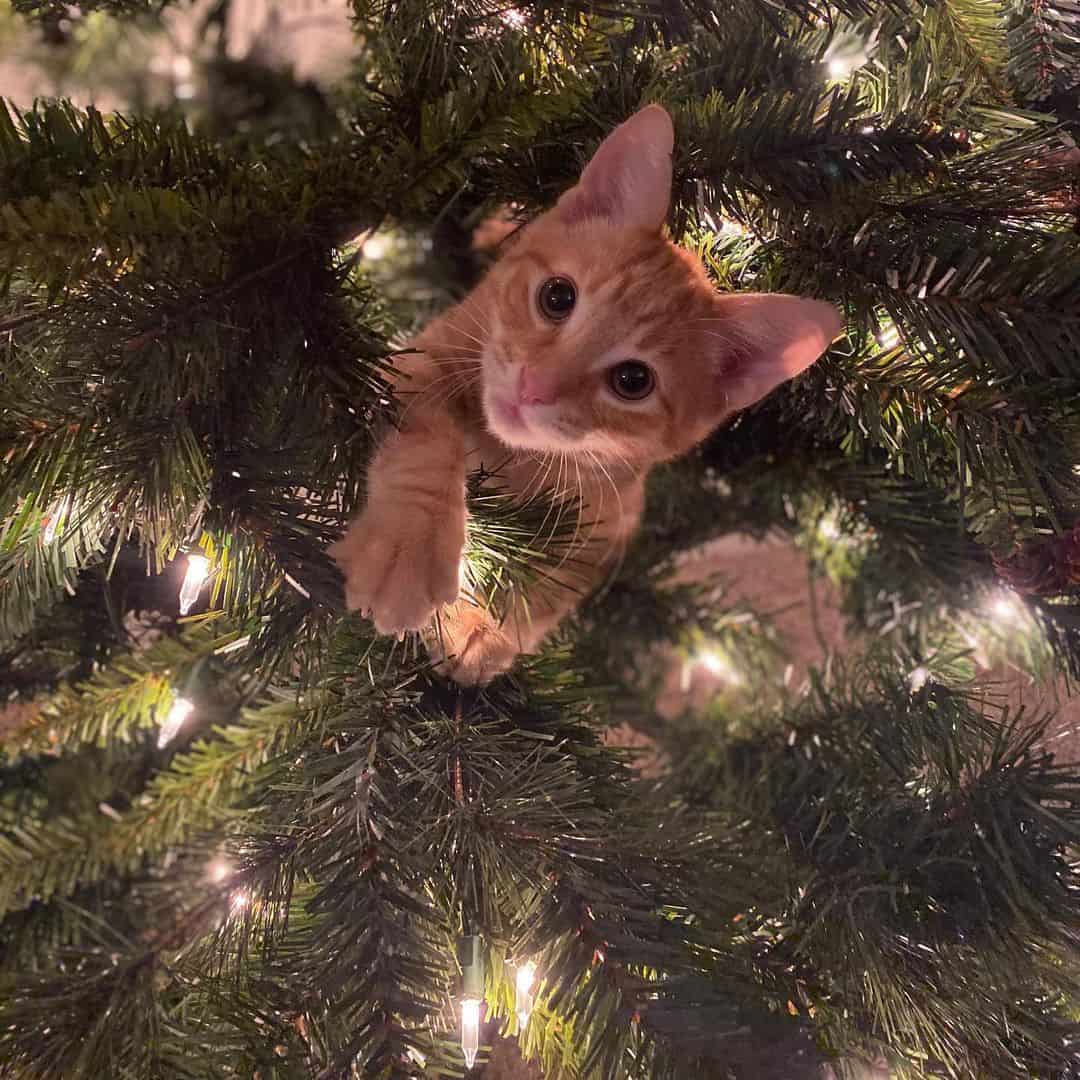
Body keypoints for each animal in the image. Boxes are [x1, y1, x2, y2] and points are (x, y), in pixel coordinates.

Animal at [330, 105, 842, 678]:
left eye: (633, 381)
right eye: (557, 296)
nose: (534, 386)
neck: (508, 456)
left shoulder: (613, 516)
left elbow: (559, 584)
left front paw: (485, 629)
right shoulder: (416, 360)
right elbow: (427, 442)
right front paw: (410, 549)